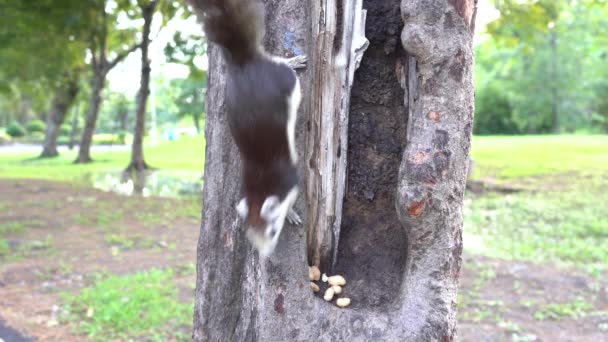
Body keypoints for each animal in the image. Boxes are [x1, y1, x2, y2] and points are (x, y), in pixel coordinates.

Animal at [189, 0, 306, 255]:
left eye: (273, 231)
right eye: (250, 235)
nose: (265, 254)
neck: (260, 184)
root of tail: (244, 62)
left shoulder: (290, 180)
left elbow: (292, 198)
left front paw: (291, 213)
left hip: (285, 80)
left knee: (283, 68)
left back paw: (293, 61)